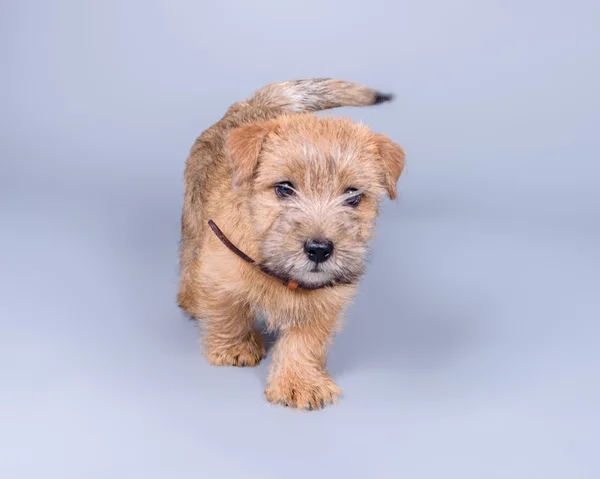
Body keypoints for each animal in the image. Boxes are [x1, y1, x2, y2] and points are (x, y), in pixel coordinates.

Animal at [176, 78, 406, 408]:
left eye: (353, 196)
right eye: (284, 188)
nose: (320, 250)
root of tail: (252, 106)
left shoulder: (325, 300)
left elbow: (305, 341)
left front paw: (300, 382)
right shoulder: (218, 268)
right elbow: (227, 310)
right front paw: (234, 347)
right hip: (193, 217)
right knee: (188, 256)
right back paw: (190, 298)